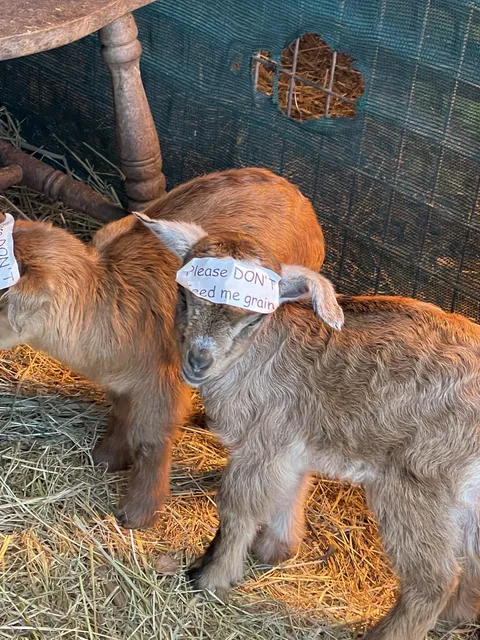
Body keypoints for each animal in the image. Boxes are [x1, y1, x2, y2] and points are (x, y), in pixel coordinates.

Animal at [0, 168, 325, 529]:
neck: (108, 303)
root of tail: (296, 193)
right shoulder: (127, 380)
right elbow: (121, 410)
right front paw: (107, 458)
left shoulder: (162, 382)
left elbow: (151, 440)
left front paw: (139, 511)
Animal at [140, 219, 480, 640]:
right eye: (184, 296)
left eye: (254, 318)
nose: (198, 362)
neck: (258, 355)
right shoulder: (290, 445)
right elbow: (290, 491)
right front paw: (276, 550)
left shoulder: (263, 441)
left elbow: (238, 507)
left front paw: (213, 578)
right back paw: (455, 615)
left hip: (419, 481)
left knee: (433, 579)